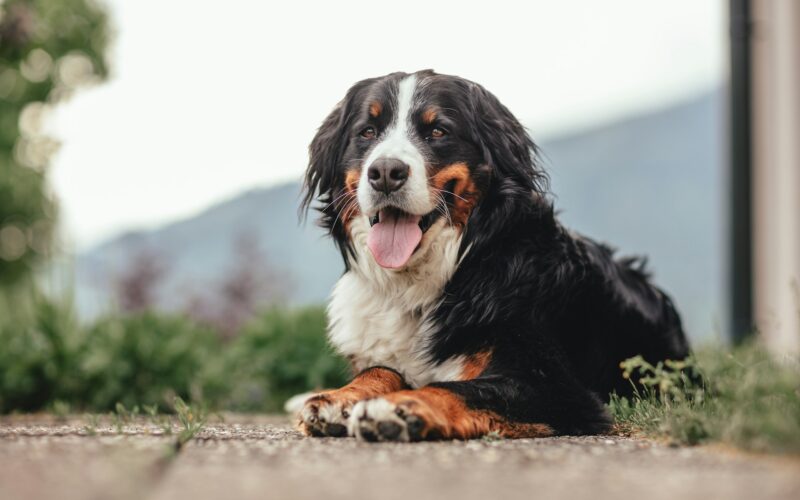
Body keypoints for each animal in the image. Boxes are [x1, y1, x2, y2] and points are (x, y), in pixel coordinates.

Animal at [296, 69, 692, 442]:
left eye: (438, 130)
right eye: (367, 132)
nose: (385, 172)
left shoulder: (556, 387)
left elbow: (455, 388)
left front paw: (397, 408)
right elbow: (380, 369)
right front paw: (338, 399)